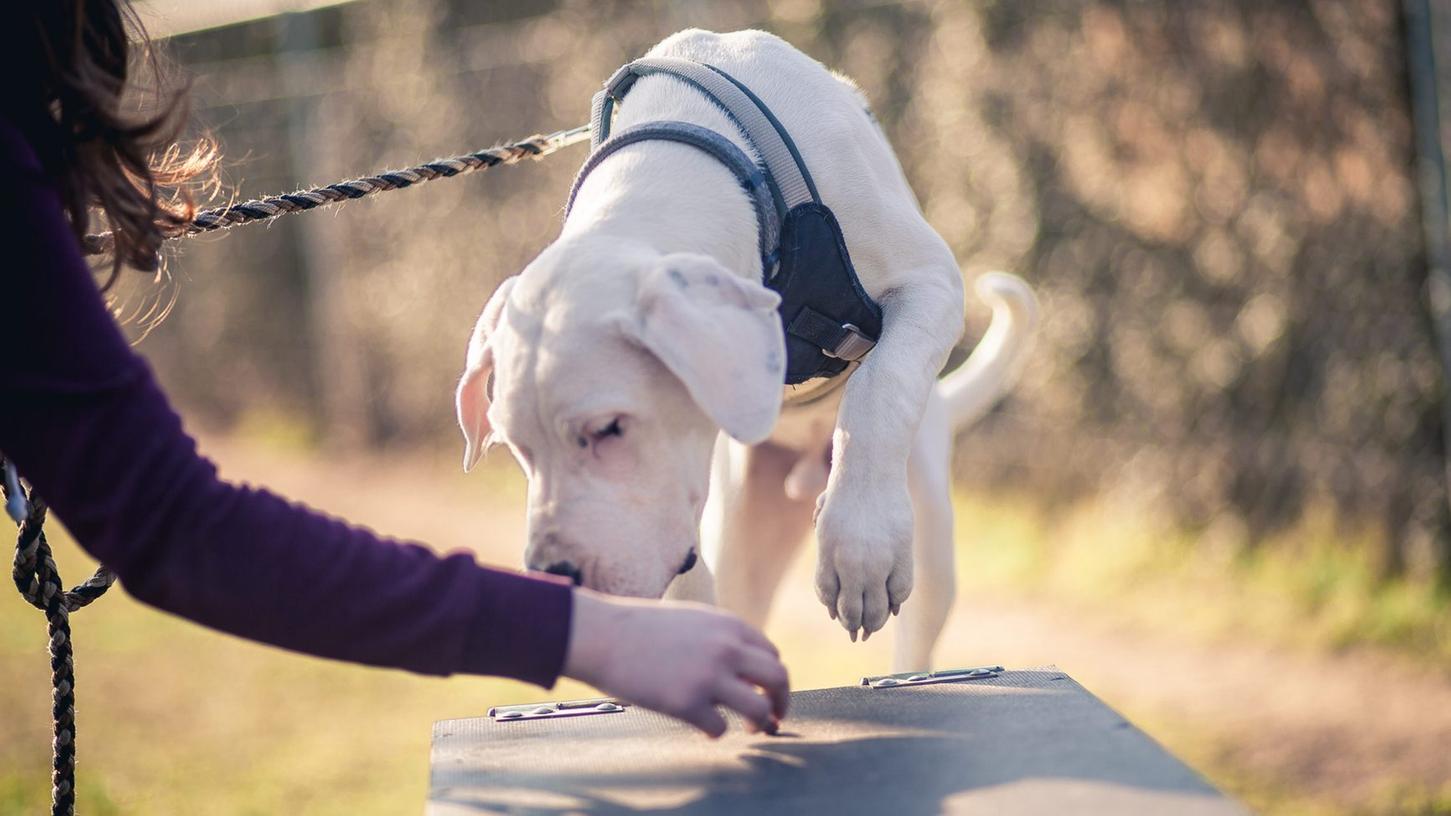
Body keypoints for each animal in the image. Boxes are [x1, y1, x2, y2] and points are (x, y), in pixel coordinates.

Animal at [452, 30, 1033, 667]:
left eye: (609, 428)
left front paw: (860, 542)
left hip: (929, 525)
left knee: (919, 628)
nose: (555, 575)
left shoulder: (931, 283)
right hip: (747, 526)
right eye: (517, 448)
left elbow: (880, 388)